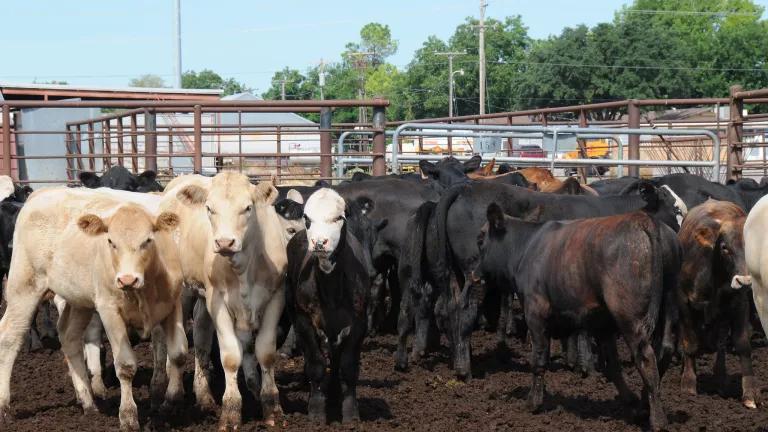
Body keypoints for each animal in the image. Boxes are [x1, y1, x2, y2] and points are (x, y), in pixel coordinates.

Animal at [0, 188, 186, 431]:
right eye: (111, 241)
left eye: (148, 240)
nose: (127, 279)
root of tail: (42, 192)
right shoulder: (109, 310)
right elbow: (125, 366)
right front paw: (128, 417)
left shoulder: (173, 305)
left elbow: (179, 355)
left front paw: (170, 402)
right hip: (23, 287)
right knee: (9, 337)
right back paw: (4, 406)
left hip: (79, 301)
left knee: (68, 336)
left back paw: (88, 402)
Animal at [161, 172, 287, 430]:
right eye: (209, 208)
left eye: (248, 207)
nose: (225, 242)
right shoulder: (217, 299)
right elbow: (230, 357)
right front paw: (231, 411)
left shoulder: (276, 296)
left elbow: (266, 352)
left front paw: (271, 406)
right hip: (184, 291)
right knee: (177, 343)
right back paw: (172, 395)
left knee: (200, 337)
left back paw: (204, 396)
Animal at [285, 188, 370, 423]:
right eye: (307, 218)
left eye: (339, 217)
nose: (319, 243)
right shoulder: (303, 321)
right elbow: (316, 365)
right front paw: (316, 412)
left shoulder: (358, 323)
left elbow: (348, 368)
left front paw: (350, 414)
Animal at [478, 205, 673, 431]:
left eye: (480, 239)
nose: (476, 273)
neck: (527, 247)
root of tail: (643, 219)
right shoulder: (602, 323)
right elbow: (612, 366)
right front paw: (631, 404)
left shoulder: (535, 313)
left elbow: (538, 358)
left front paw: (533, 402)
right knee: (664, 350)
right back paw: (644, 405)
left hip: (630, 319)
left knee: (646, 359)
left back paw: (658, 420)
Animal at [676, 200, 757, 409]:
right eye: (724, 247)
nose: (745, 280)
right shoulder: (684, 302)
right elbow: (690, 343)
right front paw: (688, 384)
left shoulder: (739, 303)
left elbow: (742, 344)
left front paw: (749, 395)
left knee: (720, 343)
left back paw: (720, 379)